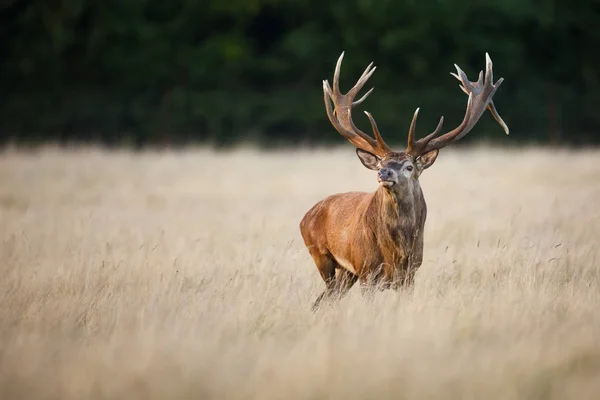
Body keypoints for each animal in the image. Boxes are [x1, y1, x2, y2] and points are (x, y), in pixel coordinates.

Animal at [298, 51, 508, 310]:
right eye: (380, 165)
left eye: (409, 167)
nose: (384, 173)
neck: (398, 252)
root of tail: (306, 216)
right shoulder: (368, 270)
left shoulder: (411, 273)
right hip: (321, 255)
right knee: (325, 295)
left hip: (347, 273)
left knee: (325, 299)